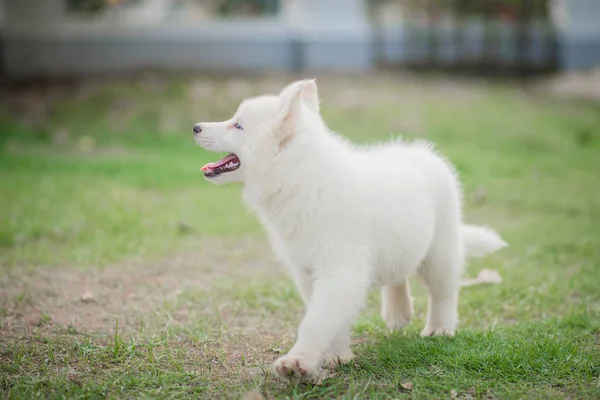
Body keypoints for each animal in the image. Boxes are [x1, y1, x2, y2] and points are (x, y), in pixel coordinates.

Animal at [193, 79, 506, 382]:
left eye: (238, 125)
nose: (196, 127)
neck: (299, 178)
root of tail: (423, 152)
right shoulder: (307, 271)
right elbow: (330, 319)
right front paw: (336, 355)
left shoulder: (340, 271)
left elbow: (317, 320)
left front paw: (298, 362)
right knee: (399, 272)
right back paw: (398, 311)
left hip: (440, 249)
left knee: (444, 292)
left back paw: (440, 328)